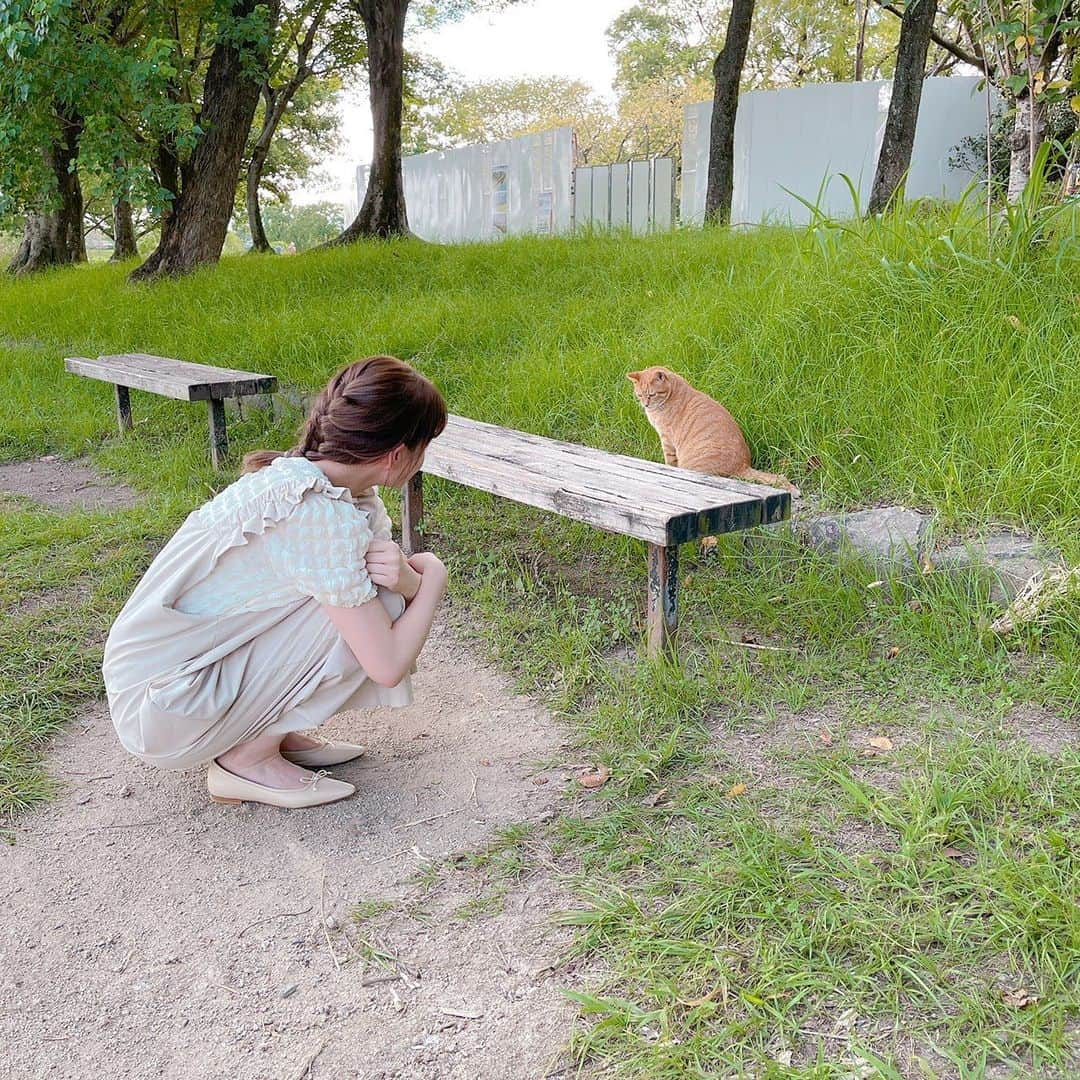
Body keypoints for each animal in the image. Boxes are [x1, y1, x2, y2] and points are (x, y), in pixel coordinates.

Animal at [630, 365, 799, 494]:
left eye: (652, 394)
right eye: (639, 395)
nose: (645, 404)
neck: (672, 393)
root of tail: (743, 466)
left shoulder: (667, 440)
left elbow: (670, 462)